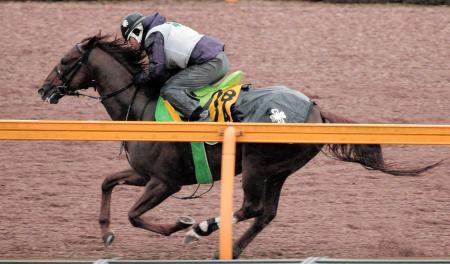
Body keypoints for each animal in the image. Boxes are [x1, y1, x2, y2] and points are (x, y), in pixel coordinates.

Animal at [37, 34, 440, 258]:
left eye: (65, 61)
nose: (43, 89)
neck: (143, 107)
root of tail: (315, 110)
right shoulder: (143, 173)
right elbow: (107, 182)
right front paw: (105, 232)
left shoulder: (165, 181)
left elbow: (135, 215)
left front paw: (180, 224)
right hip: (279, 171)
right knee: (265, 213)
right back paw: (230, 248)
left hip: (259, 165)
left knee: (251, 207)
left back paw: (200, 230)